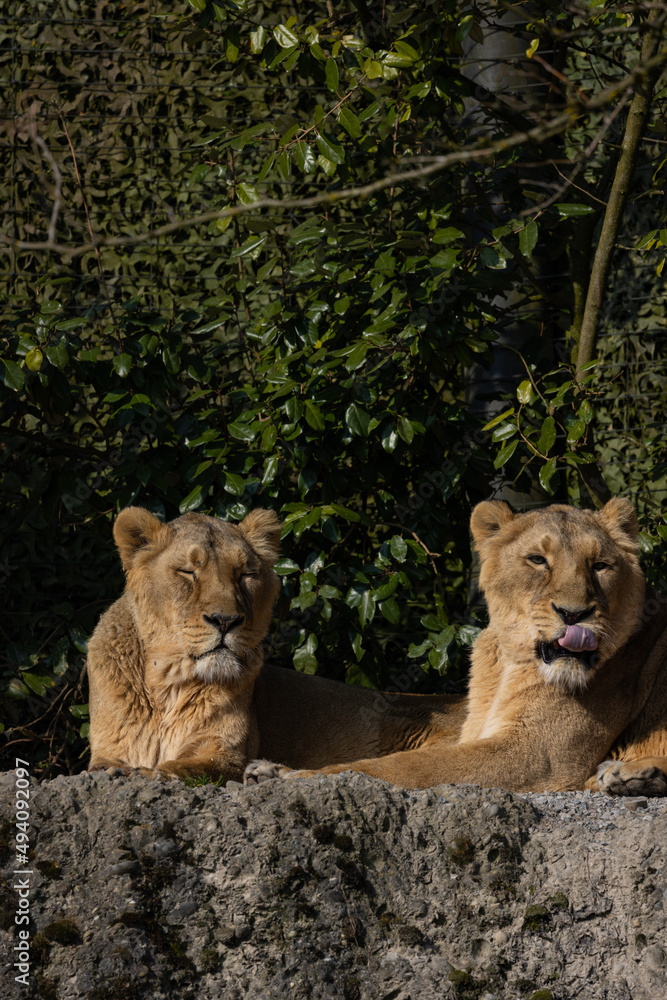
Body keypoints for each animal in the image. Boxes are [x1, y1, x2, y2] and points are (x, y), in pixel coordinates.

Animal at [87, 505, 281, 783]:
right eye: (188, 572)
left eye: (246, 575)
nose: (225, 620)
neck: (166, 686)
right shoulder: (108, 749)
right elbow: (102, 765)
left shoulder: (228, 757)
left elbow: (184, 767)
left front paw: (144, 772)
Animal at [247, 497, 667, 796]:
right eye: (537, 560)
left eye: (600, 565)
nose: (574, 614)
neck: (509, 662)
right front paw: (271, 769)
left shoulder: (539, 755)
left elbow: (402, 765)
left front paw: (295, 777)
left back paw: (629, 772)